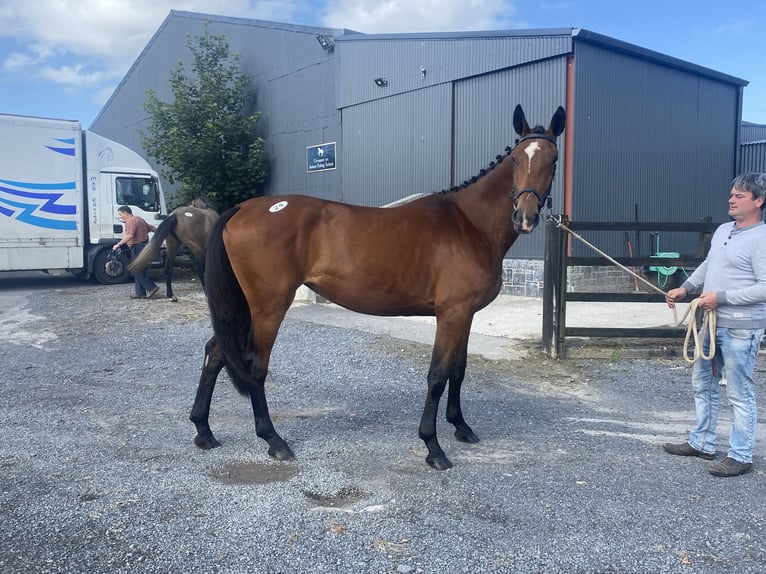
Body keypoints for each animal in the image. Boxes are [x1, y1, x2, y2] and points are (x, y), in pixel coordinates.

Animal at [192, 106, 564, 470]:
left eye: (554, 159)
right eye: (515, 159)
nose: (525, 217)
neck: (469, 224)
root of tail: (244, 207)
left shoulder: (465, 314)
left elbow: (458, 370)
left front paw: (461, 426)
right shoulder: (451, 314)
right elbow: (438, 375)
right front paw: (433, 447)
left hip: (246, 308)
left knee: (216, 352)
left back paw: (203, 430)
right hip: (268, 307)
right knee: (254, 365)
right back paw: (274, 441)